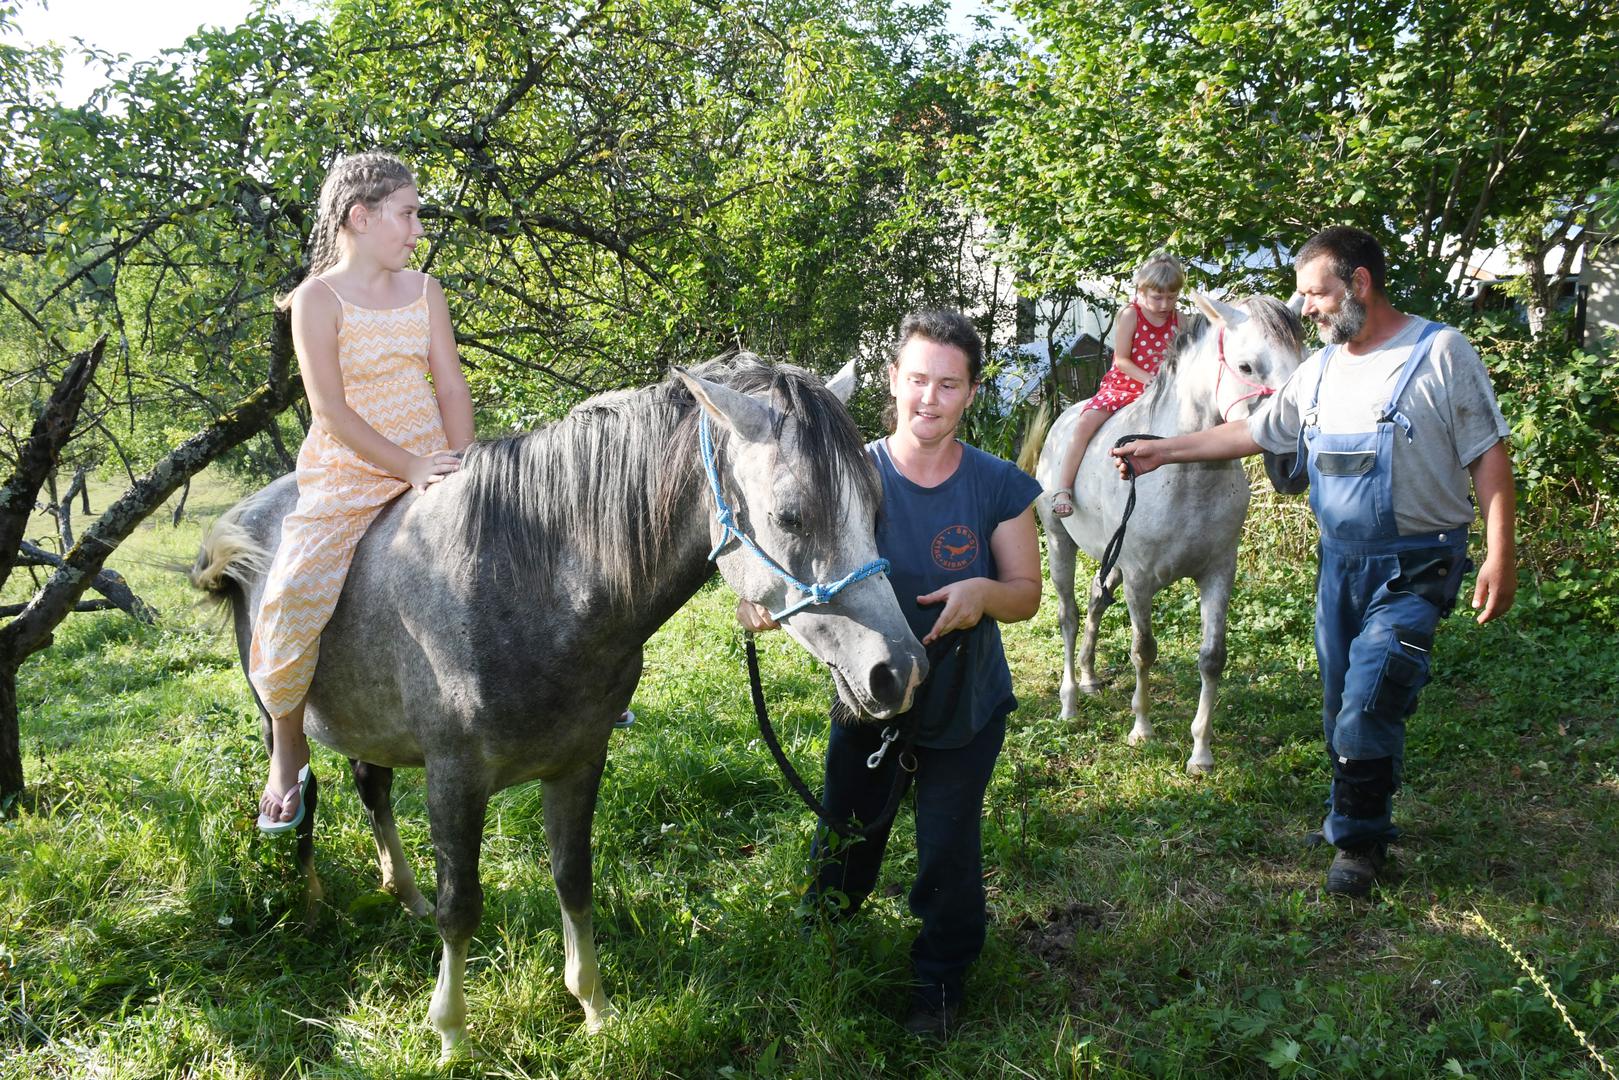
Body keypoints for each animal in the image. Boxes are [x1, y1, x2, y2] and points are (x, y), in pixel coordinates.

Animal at [189, 354, 926, 1055]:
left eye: (875, 509)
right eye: (790, 516)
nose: (900, 672)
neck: (527, 578)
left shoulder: (577, 765)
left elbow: (573, 880)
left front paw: (594, 1008)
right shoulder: (454, 779)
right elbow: (463, 905)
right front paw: (451, 1033)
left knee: (371, 786)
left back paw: (404, 895)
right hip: (277, 713)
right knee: (302, 790)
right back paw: (313, 902)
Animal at [1029, 291, 1308, 773]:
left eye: (1303, 361)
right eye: (1248, 366)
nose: (1291, 463)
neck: (1185, 473)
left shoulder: (1218, 573)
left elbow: (1212, 658)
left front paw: (1201, 752)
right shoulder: (1139, 580)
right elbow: (1144, 650)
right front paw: (1142, 729)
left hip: (1110, 561)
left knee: (1094, 601)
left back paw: (1089, 677)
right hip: (1060, 542)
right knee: (1068, 614)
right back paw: (1069, 702)